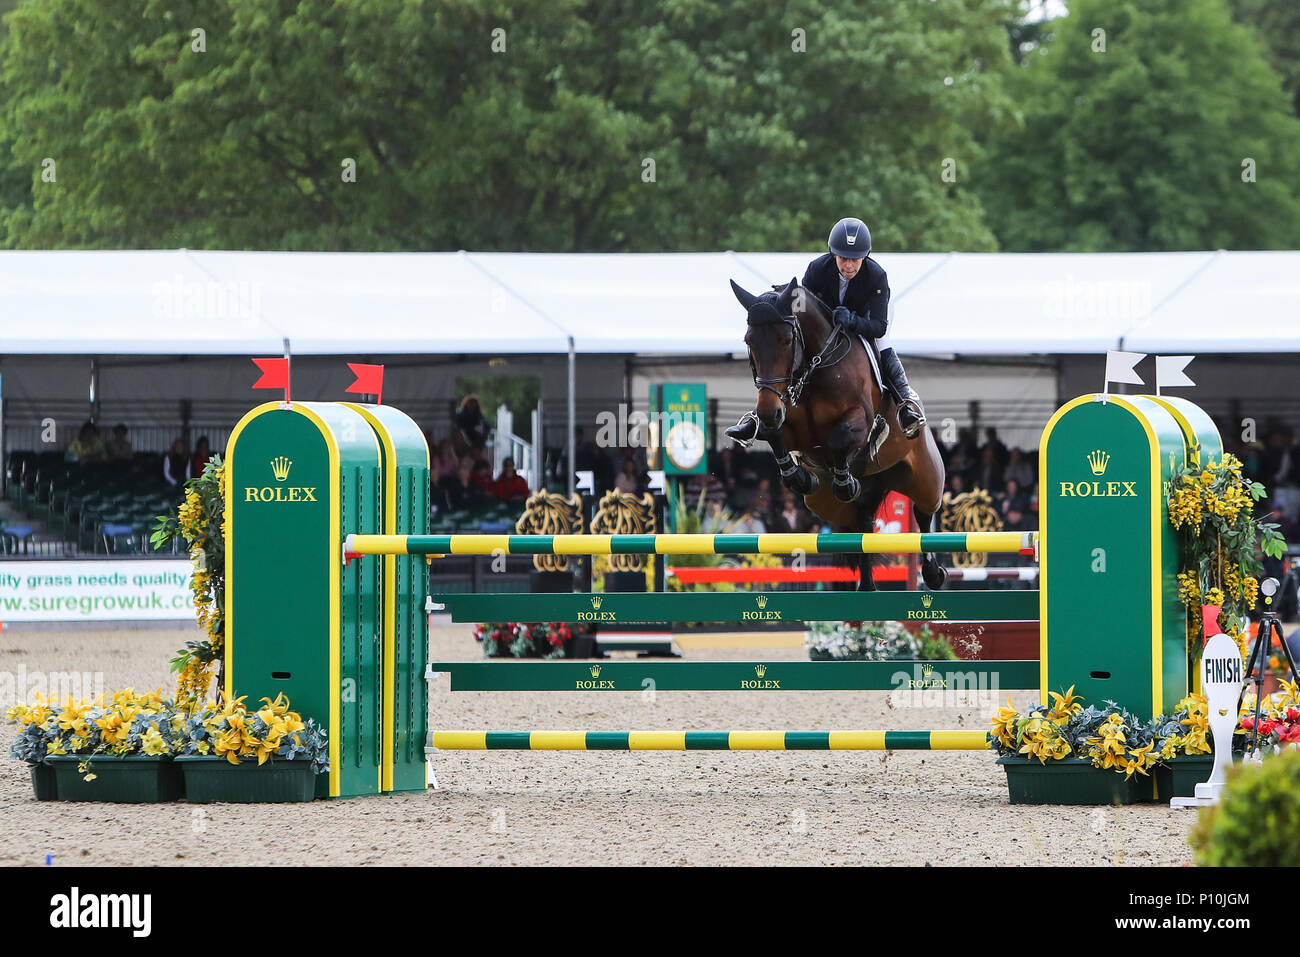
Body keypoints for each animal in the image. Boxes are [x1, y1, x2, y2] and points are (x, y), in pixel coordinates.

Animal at [728, 276, 951, 590]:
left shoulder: (861, 422)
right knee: (862, 524)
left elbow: (839, 438)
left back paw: (932, 572)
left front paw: (844, 481)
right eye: (749, 341)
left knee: (924, 513)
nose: (769, 410)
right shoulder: (789, 422)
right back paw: (866, 587)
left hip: (925, 479)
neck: (815, 367)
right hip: (824, 505)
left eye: (787, 340)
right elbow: (773, 435)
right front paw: (801, 477)